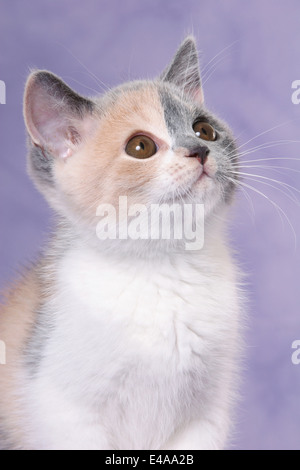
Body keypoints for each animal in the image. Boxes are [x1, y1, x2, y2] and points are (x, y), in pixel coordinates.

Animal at [0, 37, 240, 452]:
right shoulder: (66, 414)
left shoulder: (206, 417)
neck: (164, 268)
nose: (200, 151)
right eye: (141, 146)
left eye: (205, 130)